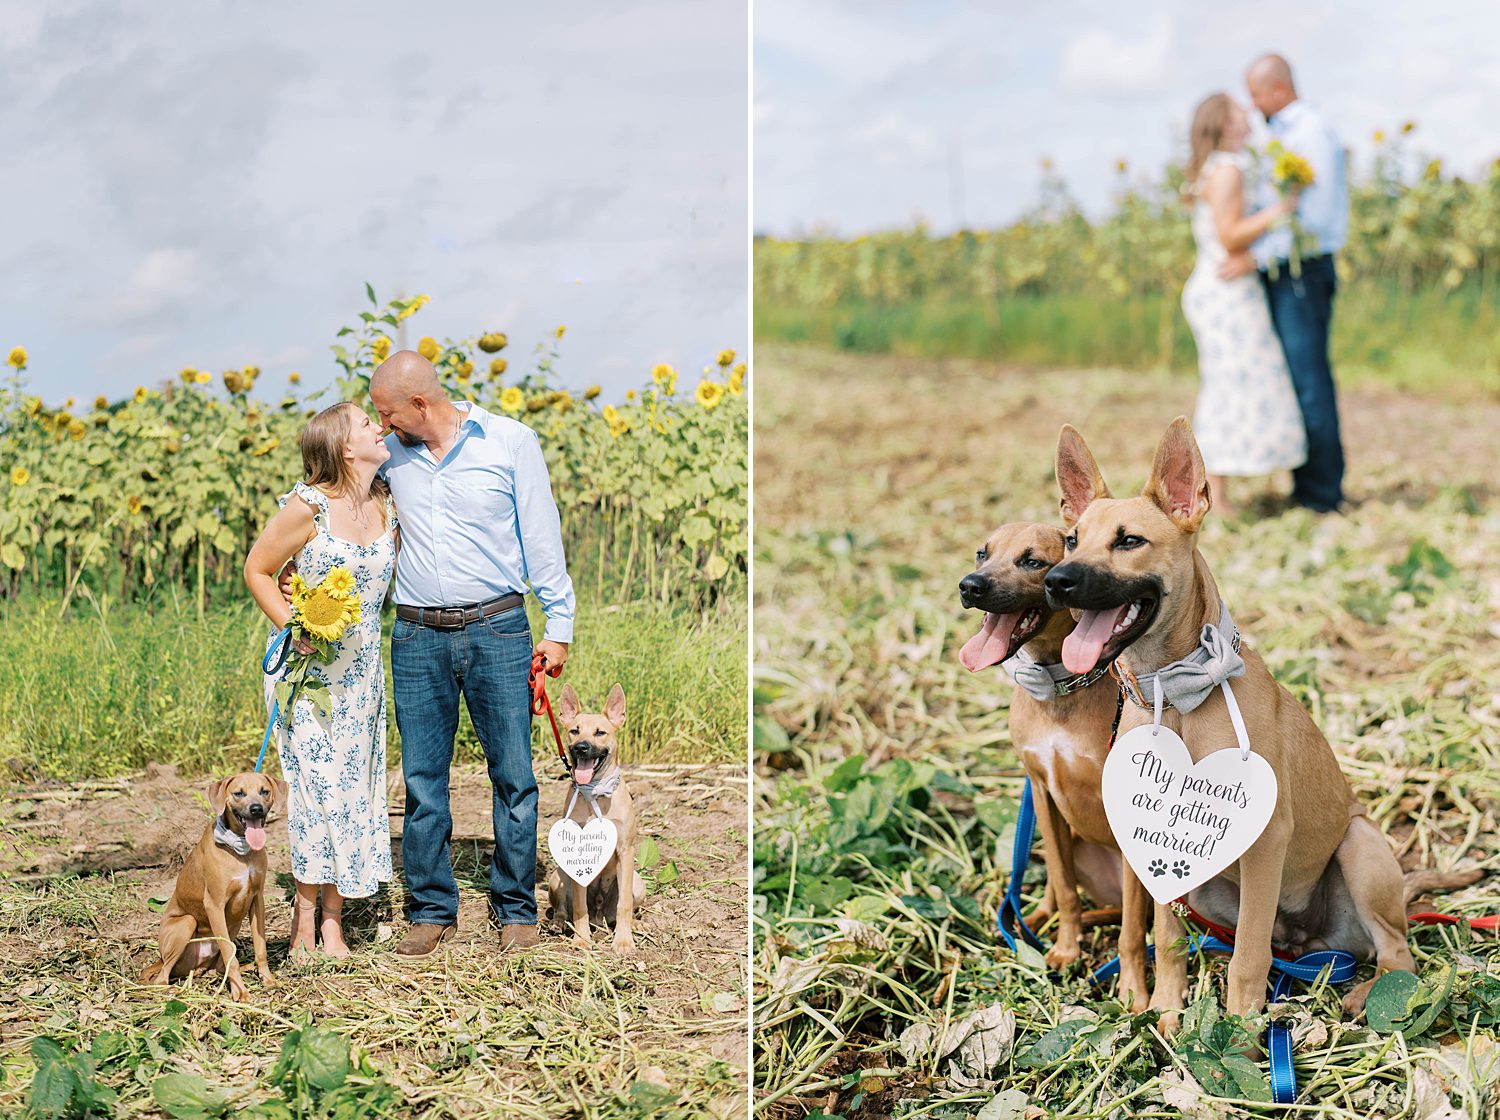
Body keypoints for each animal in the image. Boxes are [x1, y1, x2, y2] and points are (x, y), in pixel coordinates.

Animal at [147, 773, 288, 1001]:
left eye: (264, 791)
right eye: (239, 793)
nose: (256, 809)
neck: (240, 849)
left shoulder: (257, 899)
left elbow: (260, 949)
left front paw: (268, 980)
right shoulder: (214, 905)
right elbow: (232, 957)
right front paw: (241, 993)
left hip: (233, 925)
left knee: (218, 967)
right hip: (186, 923)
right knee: (162, 976)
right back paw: (170, 990)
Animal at [549, 683, 648, 953]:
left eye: (600, 732)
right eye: (574, 730)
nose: (581, 747)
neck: (596, 793)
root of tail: (600, 915)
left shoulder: (626, 850)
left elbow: (624, 905)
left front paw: (623, 940)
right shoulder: (578, 858)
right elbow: (579, 906)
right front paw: (582, 939)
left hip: (637, 882)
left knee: (625, 907)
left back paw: (635, 925)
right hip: (559, 875)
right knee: (563, 908)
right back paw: (559, 923)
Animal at [960, 524, 1134, 983]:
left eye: (1032, 562)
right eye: (982, 553)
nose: (969, 585)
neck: (1061, 689)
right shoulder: (1041, 793)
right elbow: (1065, 888)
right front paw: (1066, 949)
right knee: (1058, 885)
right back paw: (1030, 919)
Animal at [1038, 419, 1470, 1013]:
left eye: (1129, 541)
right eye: (1072, 539)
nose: (1057, 580)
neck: (1177, 694)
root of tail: (1311, 940)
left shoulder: (1265, 839)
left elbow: (1248, 956)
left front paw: (1241, 1026)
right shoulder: (1154, 846)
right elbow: (1164, 935)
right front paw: (1167, 1009)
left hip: (1359, 847)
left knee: (1397, 954)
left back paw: (1366, 995)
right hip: (1212, 888)